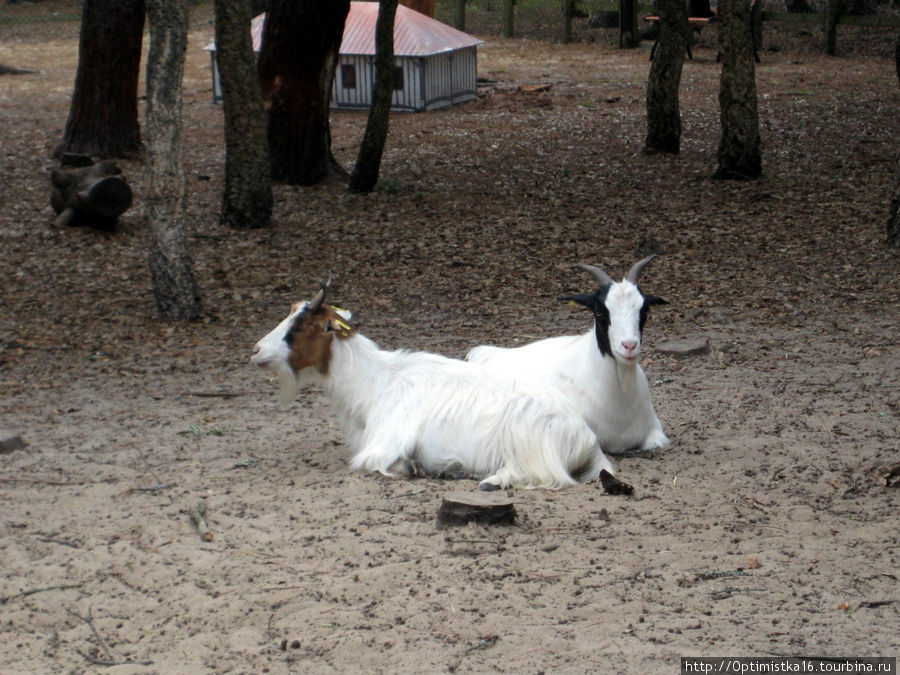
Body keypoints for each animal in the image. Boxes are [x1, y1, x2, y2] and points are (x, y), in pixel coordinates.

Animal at [250, 274, 632, 492]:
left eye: (300, 326)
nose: (256, 351)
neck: (377, 385)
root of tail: (586, 437)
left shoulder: (384, 444)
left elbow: (371, 464)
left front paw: (411, 467)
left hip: (527, 435)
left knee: (547, 477)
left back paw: (492, 480)